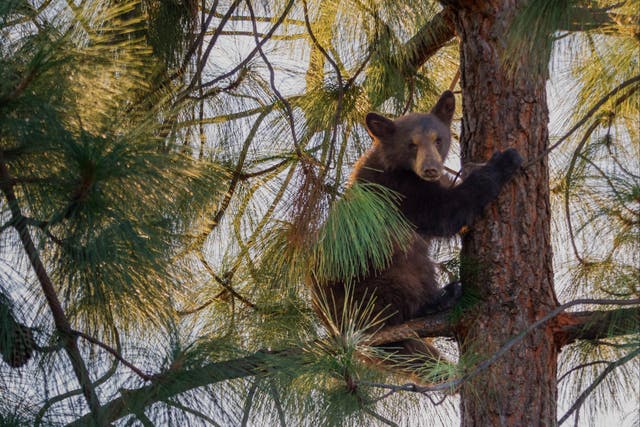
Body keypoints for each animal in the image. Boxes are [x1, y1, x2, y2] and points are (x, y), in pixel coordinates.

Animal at [318, 92, 524, 362]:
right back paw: (440, 299)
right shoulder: (400, 191)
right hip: (372, 273)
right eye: (411, 144)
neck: (399, 167)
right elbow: (445, 211)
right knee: (410, 273)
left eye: (438, 139)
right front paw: (504, 161)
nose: (430, 169)